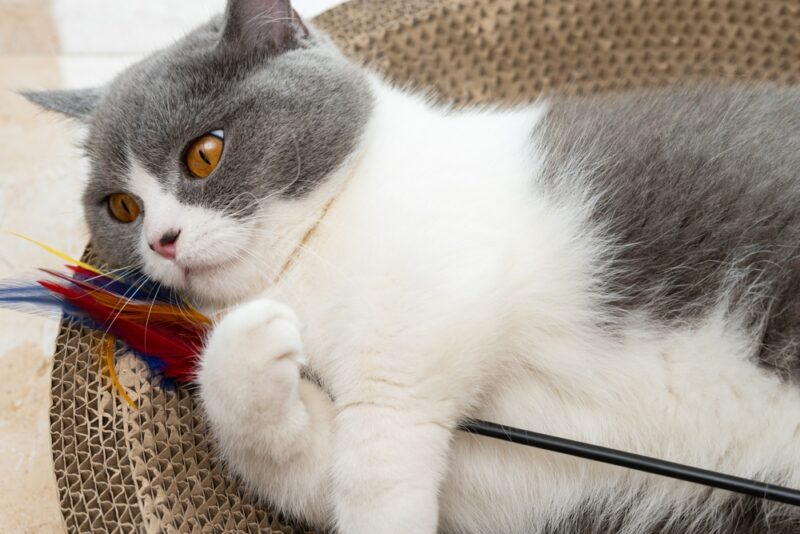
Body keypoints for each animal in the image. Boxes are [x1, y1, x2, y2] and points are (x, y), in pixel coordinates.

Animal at [21, 0, 800, 532]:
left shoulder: (433, 300)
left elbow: (380, 437)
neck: (311, 261)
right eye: (121, 207)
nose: (162, 240)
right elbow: (308, 467)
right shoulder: (496, 480)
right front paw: (248, 345)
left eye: (204, 154)